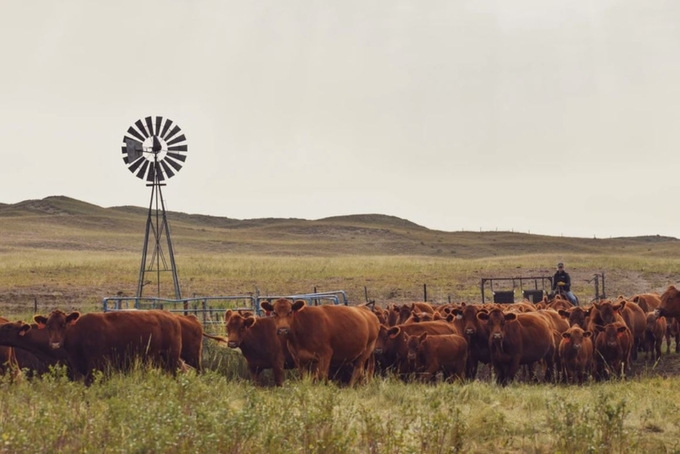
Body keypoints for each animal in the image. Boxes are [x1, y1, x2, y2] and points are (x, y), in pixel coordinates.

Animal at [33, 308, 183, 386]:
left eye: (63, 324)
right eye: (48, 326)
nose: (55, 343)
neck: (80, 332)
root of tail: (172, 317)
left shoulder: (98, 366)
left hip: (171, 359)